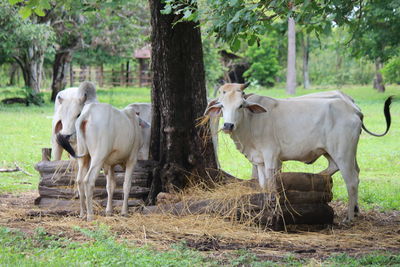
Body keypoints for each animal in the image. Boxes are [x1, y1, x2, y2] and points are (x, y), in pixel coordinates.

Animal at [205, 84, 392, 222]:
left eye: (240, 105)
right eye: (222, 105)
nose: (228, 125)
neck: (251, 122)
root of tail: (354, 110)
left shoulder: (271, 156)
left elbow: (271, 184)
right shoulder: (258, 160)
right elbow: (263, 185)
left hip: (343, 152)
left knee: (352, 180)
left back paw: (349, 217)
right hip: (333, 152)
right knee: (338, 169)